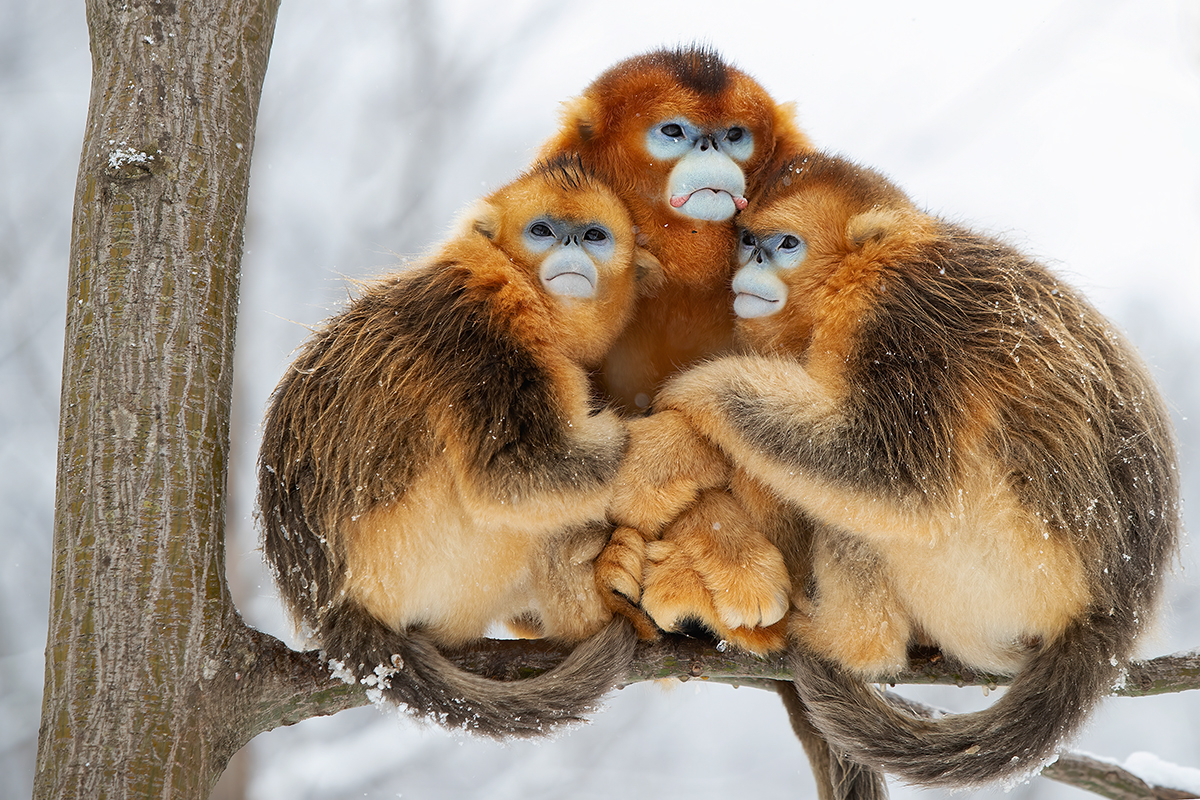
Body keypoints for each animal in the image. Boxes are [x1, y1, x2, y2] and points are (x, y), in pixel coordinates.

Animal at [258, 155, 652, 738]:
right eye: (542, 231)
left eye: (594, 235)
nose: (570, 246)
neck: (520, 286)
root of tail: (333, 608)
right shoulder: (488, 339)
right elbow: (511, 475)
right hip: (426, 560)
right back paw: (588, 605)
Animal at [614, 151, 1176, 786]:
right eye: (748, 241)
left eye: (785, 245)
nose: (750, 263)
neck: (862, 269)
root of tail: (1114, 614)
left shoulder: (898, 316)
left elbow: (892, 476)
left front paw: (697, 393)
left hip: (1007, 571)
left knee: (869, 512)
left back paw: (845, 643)